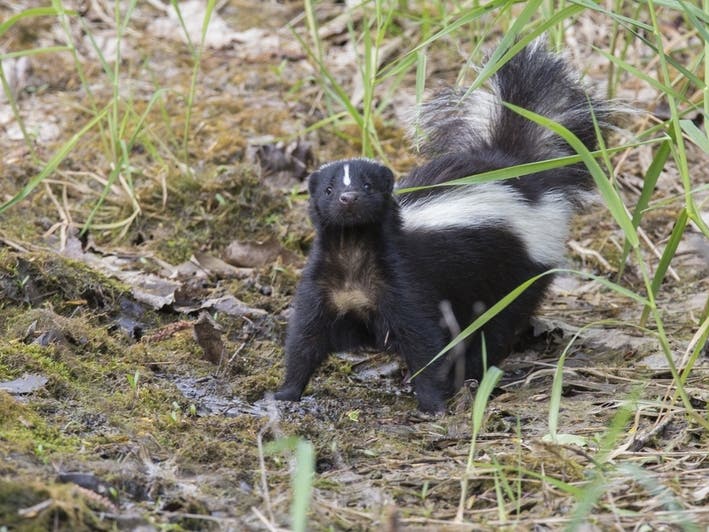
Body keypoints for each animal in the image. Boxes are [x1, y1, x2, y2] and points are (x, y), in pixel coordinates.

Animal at [274, 42, 612, 416]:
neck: (353, 249)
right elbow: (306, 338)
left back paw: (475, 374)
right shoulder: (323, 286)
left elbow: (423, 341)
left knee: (497, 325)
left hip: (516, 272)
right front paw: (286, 393)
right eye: (329, 190)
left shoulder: (405, 284)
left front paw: (432, 403)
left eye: (367, 186)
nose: (349, 199)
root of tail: (514, 167)